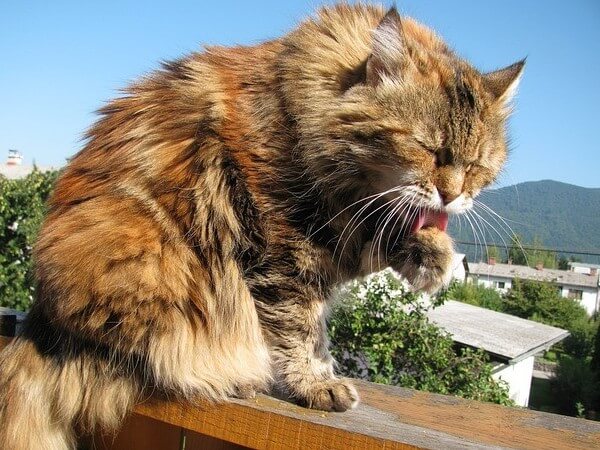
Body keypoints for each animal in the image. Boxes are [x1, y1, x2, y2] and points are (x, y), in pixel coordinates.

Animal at [0, 4, 524, 450]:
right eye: (428, 148)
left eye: (476, 166)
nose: (453, 195)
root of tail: (44, 318)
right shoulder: (287, 249)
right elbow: (302, 330)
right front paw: (317, 384)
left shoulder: (343, 233)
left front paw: (435, 254)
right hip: (147, 262)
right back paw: (232, 377)